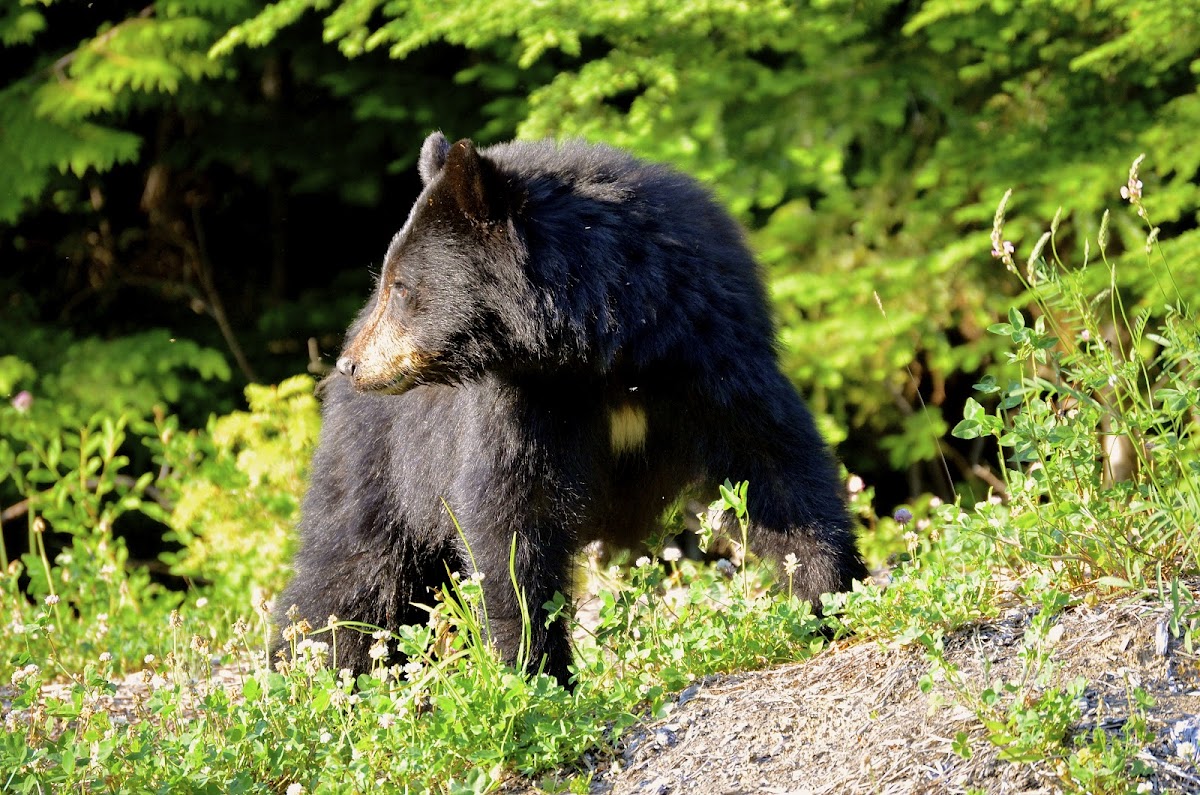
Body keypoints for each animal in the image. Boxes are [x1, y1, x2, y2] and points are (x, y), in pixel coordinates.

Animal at [277, 131, 868, 687]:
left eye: (400, 287)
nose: (352, 364)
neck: (606, 351)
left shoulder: (712, 349)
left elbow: (776, 464)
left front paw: (834, 600)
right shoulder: (524, 402)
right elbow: (512, 515)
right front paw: (539, 673)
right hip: (383, 462)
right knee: (353, 574)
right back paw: (312, 677)